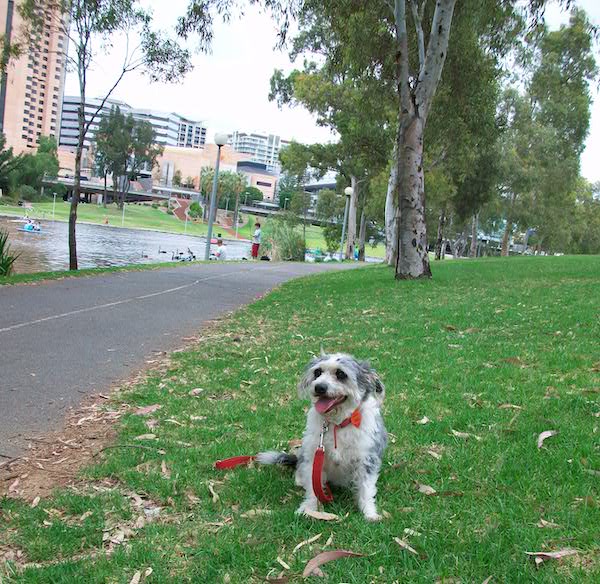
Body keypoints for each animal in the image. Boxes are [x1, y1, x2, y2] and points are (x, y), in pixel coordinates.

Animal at [257, 353, 387, 521]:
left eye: (341, 374)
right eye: (317, 372)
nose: (319, 387)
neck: (338, 424)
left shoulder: (367, 459)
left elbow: (366, 489)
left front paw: (369, 513)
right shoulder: (313, 458)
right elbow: (313, 488)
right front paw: (309, 508)